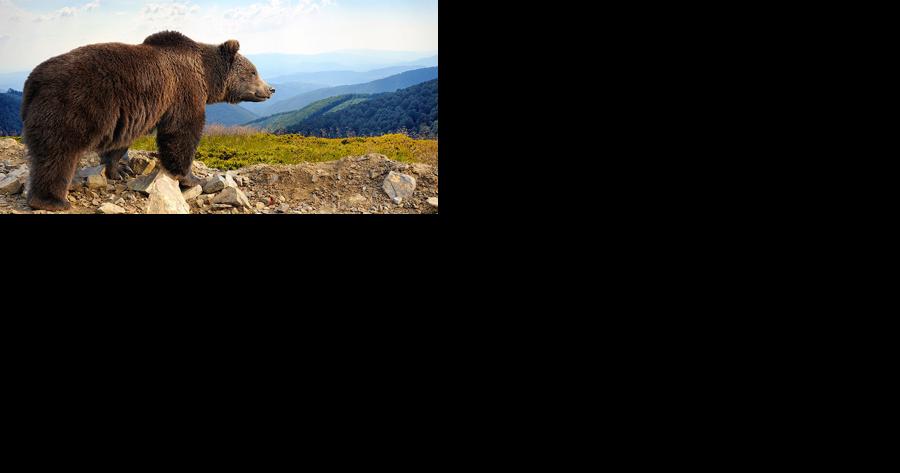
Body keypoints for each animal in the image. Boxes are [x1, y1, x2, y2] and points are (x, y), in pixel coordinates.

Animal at [21, 31, 275, 211]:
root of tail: (33, 81)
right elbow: (182, 132)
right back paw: (51, 200)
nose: (270, 89)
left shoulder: (131, 113)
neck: (206, 75)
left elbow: (121, 141)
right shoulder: (183, 91)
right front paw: (192, 178)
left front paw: (119, 170)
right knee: (58, 153)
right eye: (253, 71)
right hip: (72, 105)